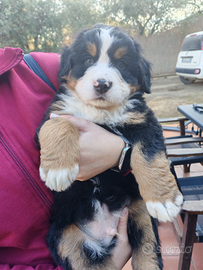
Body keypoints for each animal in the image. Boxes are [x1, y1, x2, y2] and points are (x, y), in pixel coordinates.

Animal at [36, 24, 182, 268]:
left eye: (121, 64)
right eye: (87, 60)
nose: (102, 84)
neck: (100, 112)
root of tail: (105, 230)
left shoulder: (144, 121)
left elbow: (148, 156)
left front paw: (164, 201)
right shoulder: (53, 115)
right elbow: (61, 123)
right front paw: (58, 171)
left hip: (140, 213)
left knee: (147, 253)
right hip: (65, 236)